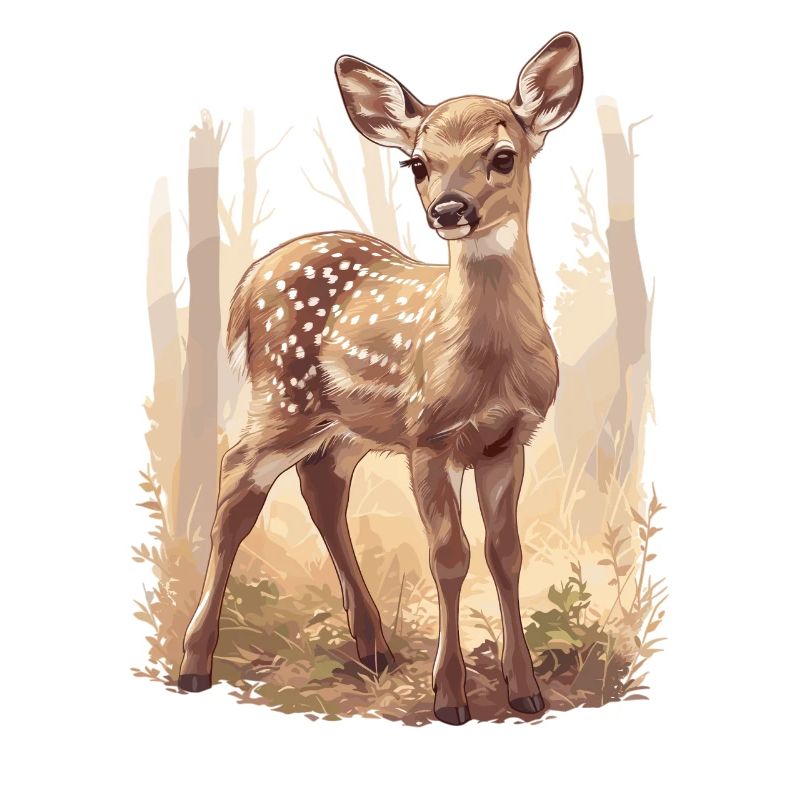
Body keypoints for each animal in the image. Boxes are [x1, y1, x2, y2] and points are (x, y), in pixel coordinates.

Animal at [179, 32, 583, 725]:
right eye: (416, 164)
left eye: (503, 156)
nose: (449, 209)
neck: (488, 367)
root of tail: (250, 282)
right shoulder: (429, 436)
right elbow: (450, 557)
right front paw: (449, 697)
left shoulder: (508, 440)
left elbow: (506, 555)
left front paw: (525, 690)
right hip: (283, 397)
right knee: (235, 483)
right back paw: (193, 664)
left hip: (345, 426)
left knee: (320, 489)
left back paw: (375, 648)